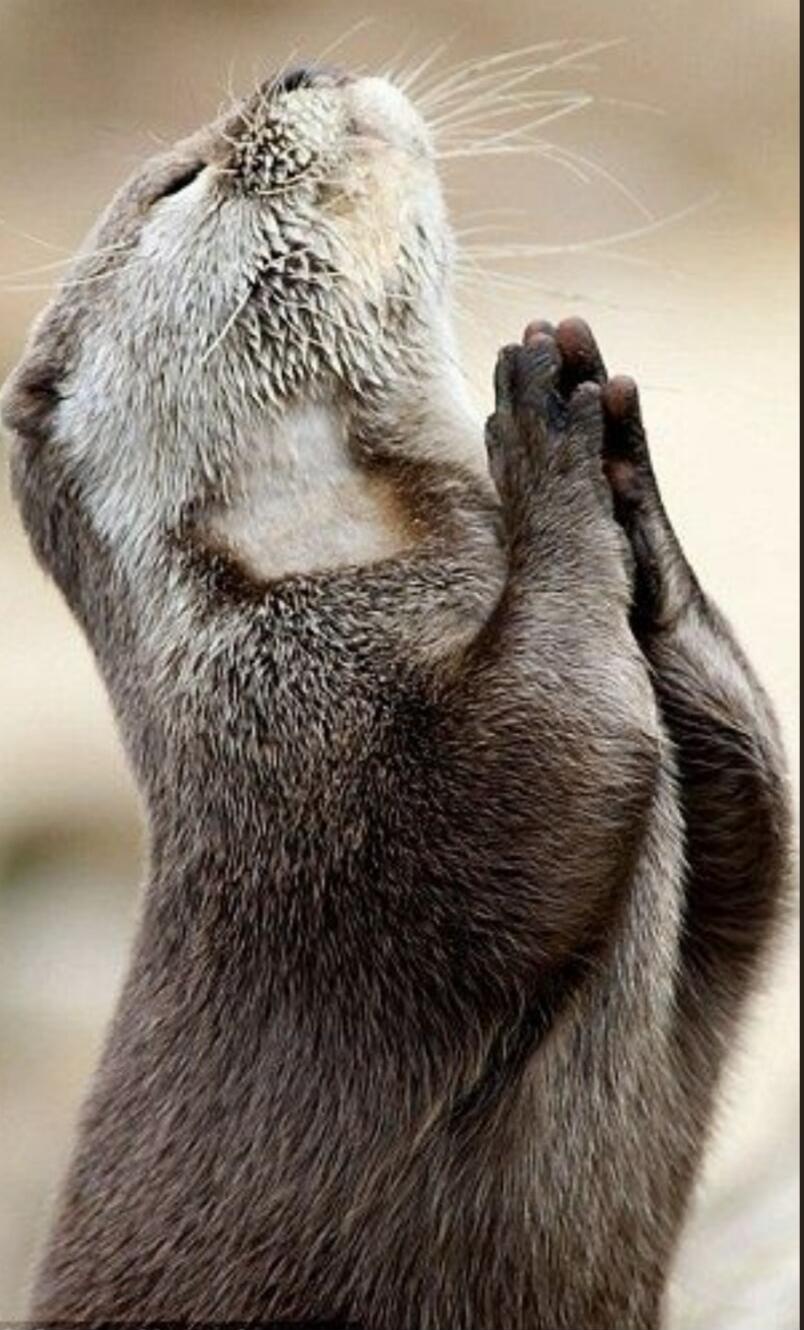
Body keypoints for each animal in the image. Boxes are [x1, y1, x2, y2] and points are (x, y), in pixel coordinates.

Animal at [1, 64, 792, 1329]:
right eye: (181, 180)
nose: (296, 71)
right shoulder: (326, 772)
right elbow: (553, 757)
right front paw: (543, 432)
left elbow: (758, 811)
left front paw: (624, 467)